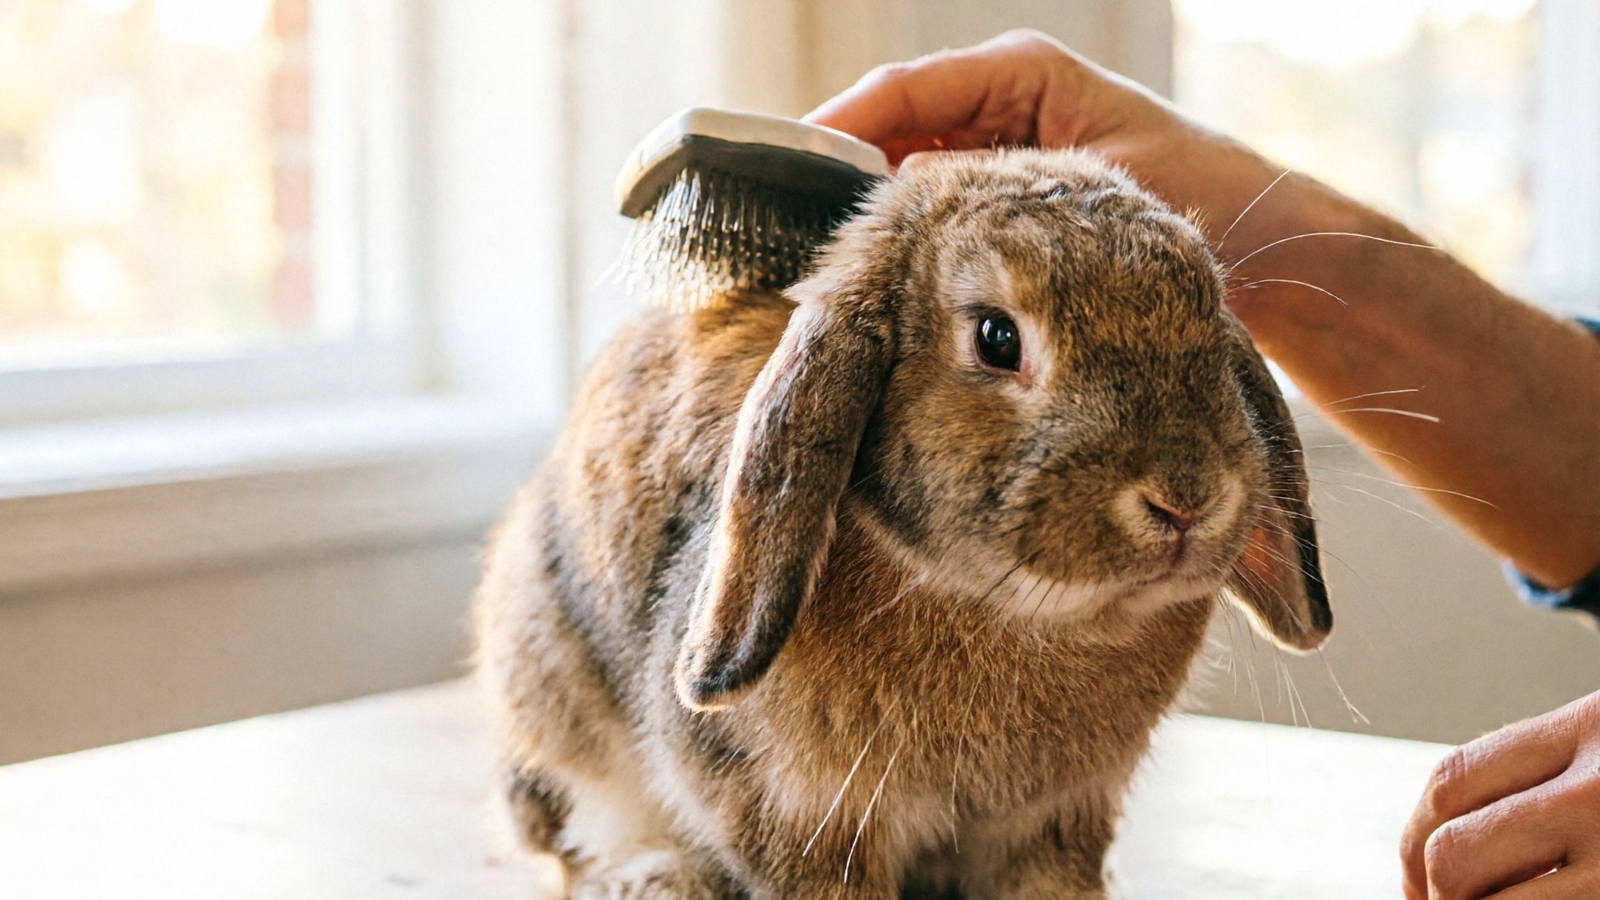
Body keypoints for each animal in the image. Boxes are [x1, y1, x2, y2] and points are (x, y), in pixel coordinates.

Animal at [473, 148, 1331, 900]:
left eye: (1210, 325)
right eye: (997, 338)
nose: (1188, 498)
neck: (1022, 611)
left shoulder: (1053, 822)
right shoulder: (793, 808)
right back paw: (653, 879)